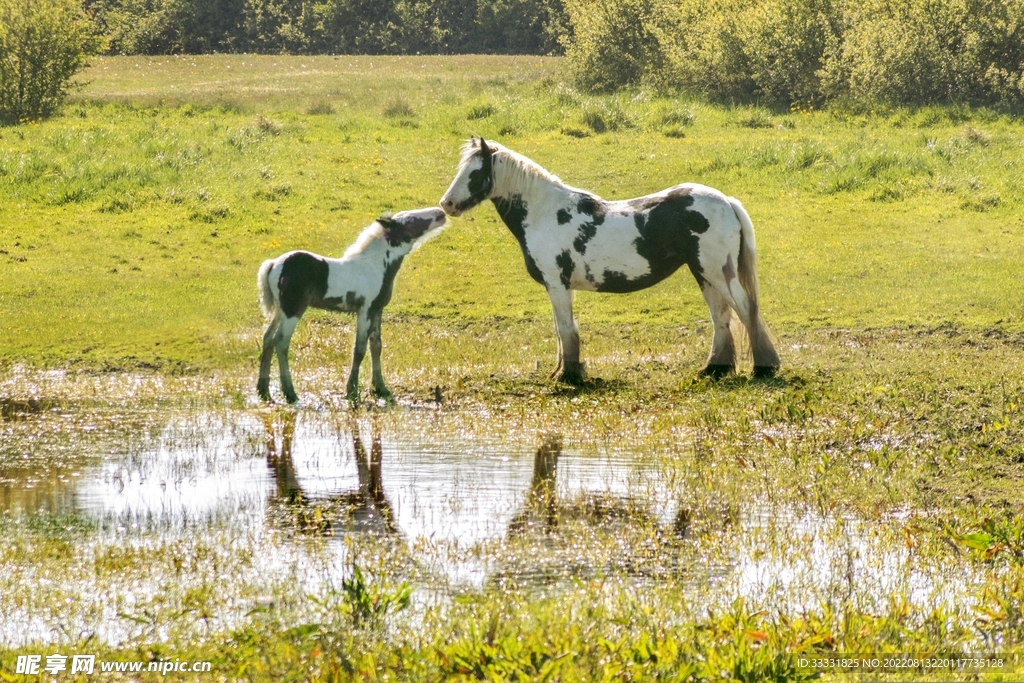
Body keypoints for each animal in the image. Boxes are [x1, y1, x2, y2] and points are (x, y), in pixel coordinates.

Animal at [256, 205, 444, 403]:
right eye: (411, 220)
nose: (440, 213)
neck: (375, 266)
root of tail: (274, 263)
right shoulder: (365, 311)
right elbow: (360, 349)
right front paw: (352, 390)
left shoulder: (377, 310)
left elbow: (376, 346)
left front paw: (380, 387)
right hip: (292, 310)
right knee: (281, 342)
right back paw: (290, 393)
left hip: (280, 310)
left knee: (268, 338)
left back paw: (263, 390)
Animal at [436, 137, 778, 385]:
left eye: (475, 174)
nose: (446, 204)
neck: (545, 212)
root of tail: (726, 201)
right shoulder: (559, 287)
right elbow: (562, 329)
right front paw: (562, 371)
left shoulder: (556, 284)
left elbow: (565, 328)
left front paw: (569, 376)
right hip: (704, 274)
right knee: (721, 317)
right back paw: (714, 370)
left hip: (717, 272)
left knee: (745, 310)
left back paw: (764, 367)